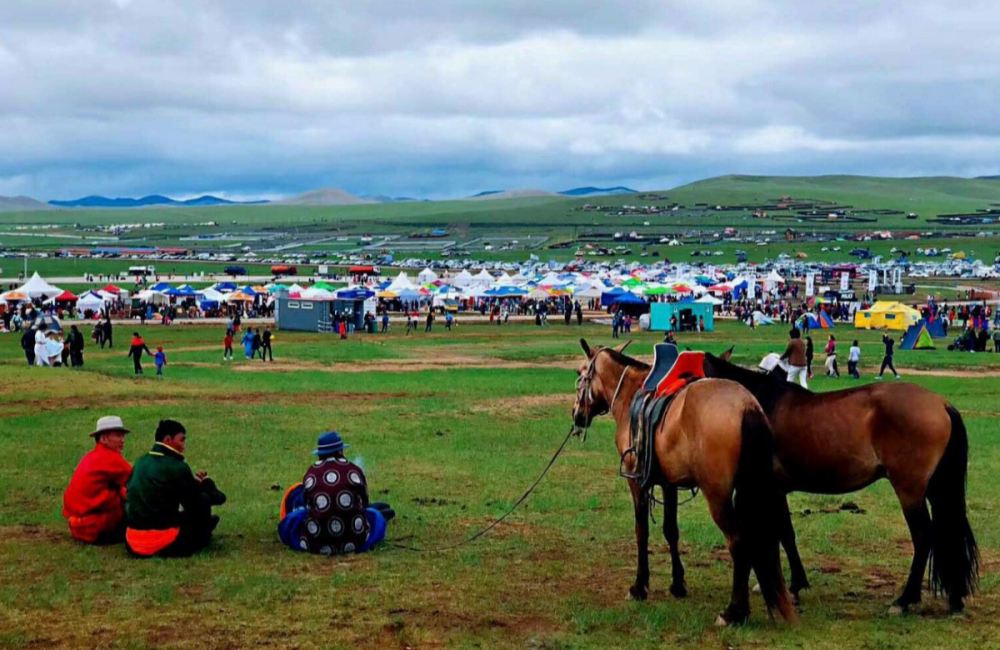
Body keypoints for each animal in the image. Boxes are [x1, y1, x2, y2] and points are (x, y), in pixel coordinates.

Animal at [572, 340, 796, 624]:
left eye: (580, 374)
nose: (576, 415)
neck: (631, 394)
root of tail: (746, 406)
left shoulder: (637, 481)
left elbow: (641, 531)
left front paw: (639, 586)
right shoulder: (669, 482)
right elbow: (671, 530)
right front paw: (677, 584)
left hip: (718, 496)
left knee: (738, 541)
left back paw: (734, 610)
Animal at [700, 344, 980, 612]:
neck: (755, 406)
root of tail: (941, 404)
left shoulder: (771, 489)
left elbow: (781, 533)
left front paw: (792, 586)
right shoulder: (777, 489)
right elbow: (786, 534)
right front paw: (795, 584)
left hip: (910, 489)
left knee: (923, 536)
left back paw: (905, 599)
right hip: (935, 487)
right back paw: (955, 598)